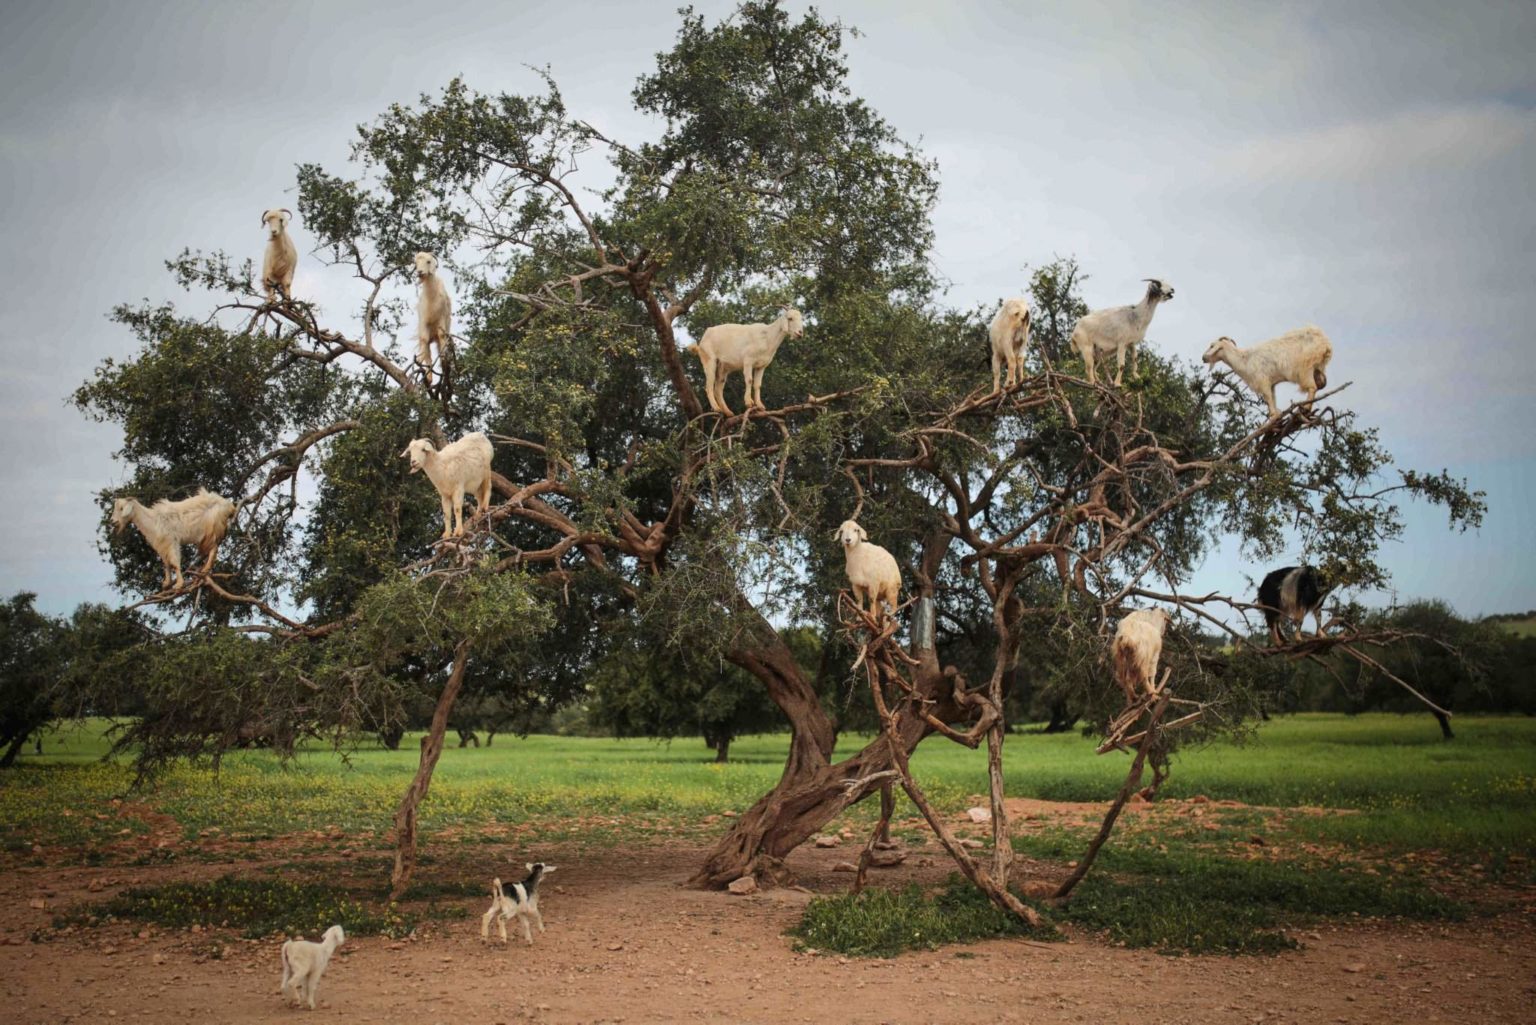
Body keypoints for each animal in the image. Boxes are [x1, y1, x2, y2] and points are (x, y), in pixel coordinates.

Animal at [411, 255, 451, 387]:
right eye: (416, 263)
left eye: (428, 261)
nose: (420, 272)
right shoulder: (424, 321)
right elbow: (424, 341)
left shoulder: (441, 318)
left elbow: (442, 335)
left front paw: (443, 359)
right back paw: (429, 378)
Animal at [1198, 322, 1333, 414]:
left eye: (1212, 346)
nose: (1203, 358)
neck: (1245, 359)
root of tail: (1326, 343)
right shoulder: (1271, 383)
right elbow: (1272, 400)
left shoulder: (1262, 381)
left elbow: (1269, 403)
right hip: (1318, 368)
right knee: (1320, 384)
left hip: (1306, 367)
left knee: (1312, 387)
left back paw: (1305, 408)